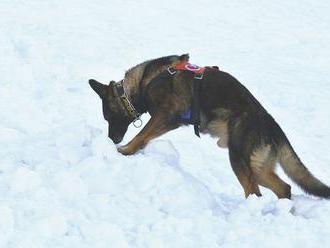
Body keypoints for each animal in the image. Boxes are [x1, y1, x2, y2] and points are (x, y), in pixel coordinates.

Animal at [88, 54, 330, 200]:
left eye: (108, 117)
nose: (112, 140)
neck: (143, 81)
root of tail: (273, 126)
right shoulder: (168, 122)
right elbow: (145, 137)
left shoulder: (166, 115)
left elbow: (141, 135)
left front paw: (125, 150)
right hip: (258, 167)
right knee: (284, 188)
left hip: (239, 159)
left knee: (254, 191)